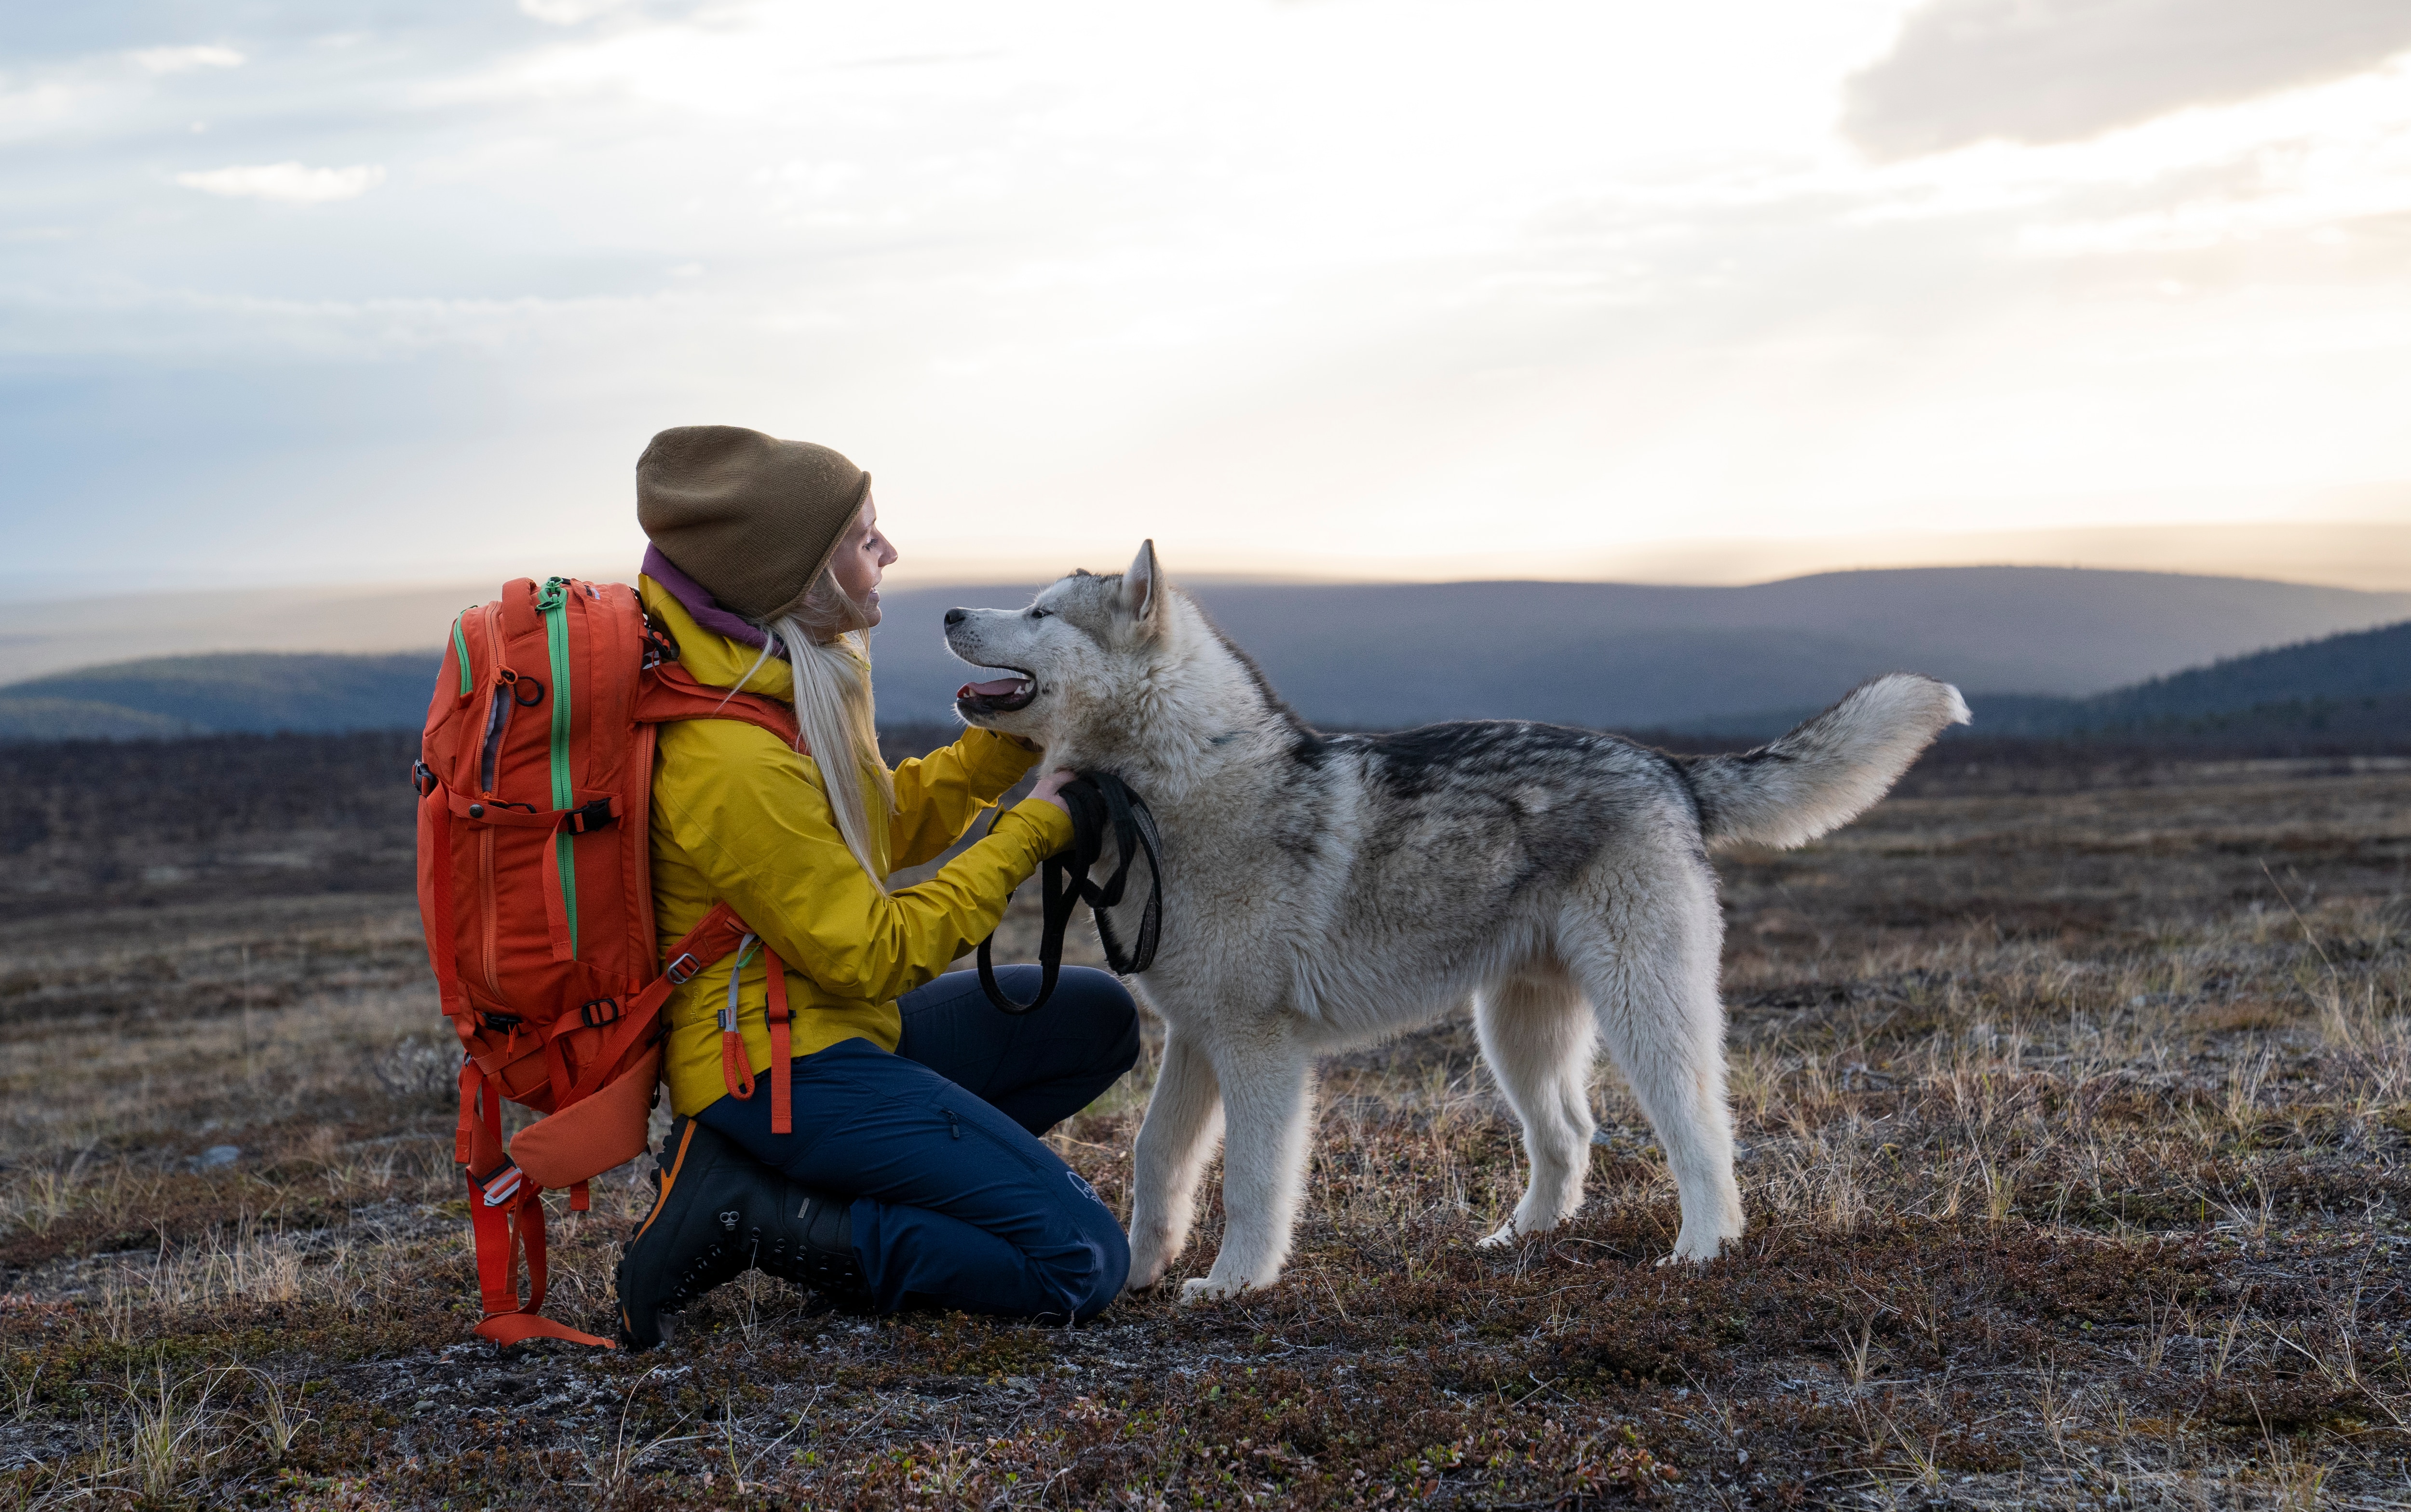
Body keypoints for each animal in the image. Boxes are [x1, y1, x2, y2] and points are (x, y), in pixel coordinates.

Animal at [940, 545, 1958, 1302]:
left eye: (1040, 613)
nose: (947, 613)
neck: (1178, 782)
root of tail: (1669, 769)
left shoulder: (1260, 1051)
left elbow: (1253, 1184)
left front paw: (1234, 1284)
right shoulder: (1196, 1038)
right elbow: (1158, 1163)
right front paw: (1143, 1273)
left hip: (1643, 1012)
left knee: (1701, 1132)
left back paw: (1703, 1250)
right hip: (1516, 1031)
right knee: (1570, 1135)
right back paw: (1518, 1241)